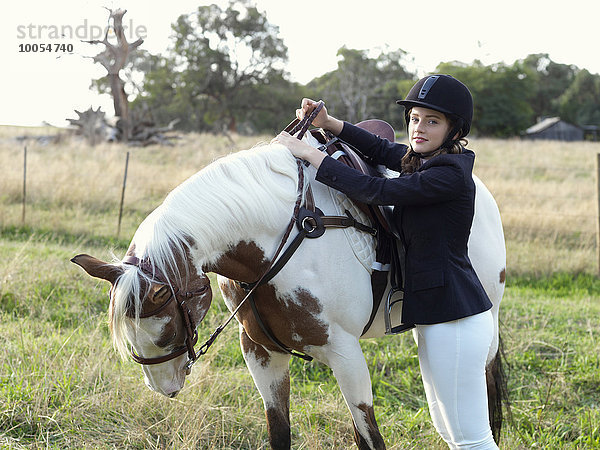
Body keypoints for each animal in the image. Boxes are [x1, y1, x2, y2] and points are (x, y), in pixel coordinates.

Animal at [71, 137, 506, 450]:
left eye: (162, 329)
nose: (163, 386)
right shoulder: (261, 352)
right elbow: (280, 433)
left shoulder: (346, 354)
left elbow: (370, 438)